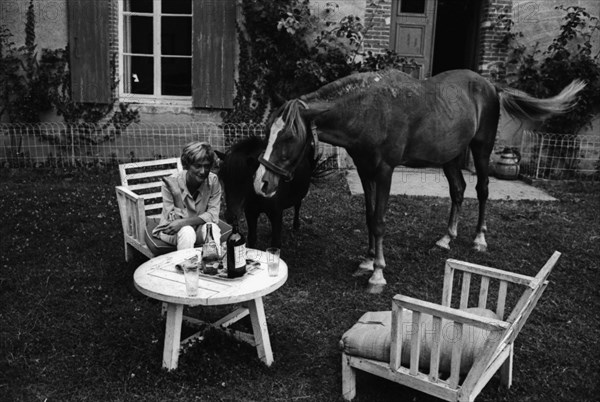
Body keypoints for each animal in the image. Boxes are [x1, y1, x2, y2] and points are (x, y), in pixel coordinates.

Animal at [254, 70, 584, 292]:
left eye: (289, 136)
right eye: (268, 131)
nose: (261, 184)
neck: (370, 109)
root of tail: (490, 85)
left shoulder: (384, 171)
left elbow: (379, 221)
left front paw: (378, 274)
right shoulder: (364, 170)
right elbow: (369, 216)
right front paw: (367, 261)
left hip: (481, 149)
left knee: (482, 190)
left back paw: (479, 239)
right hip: (451, 156)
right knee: (458, 190)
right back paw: (446, 238)